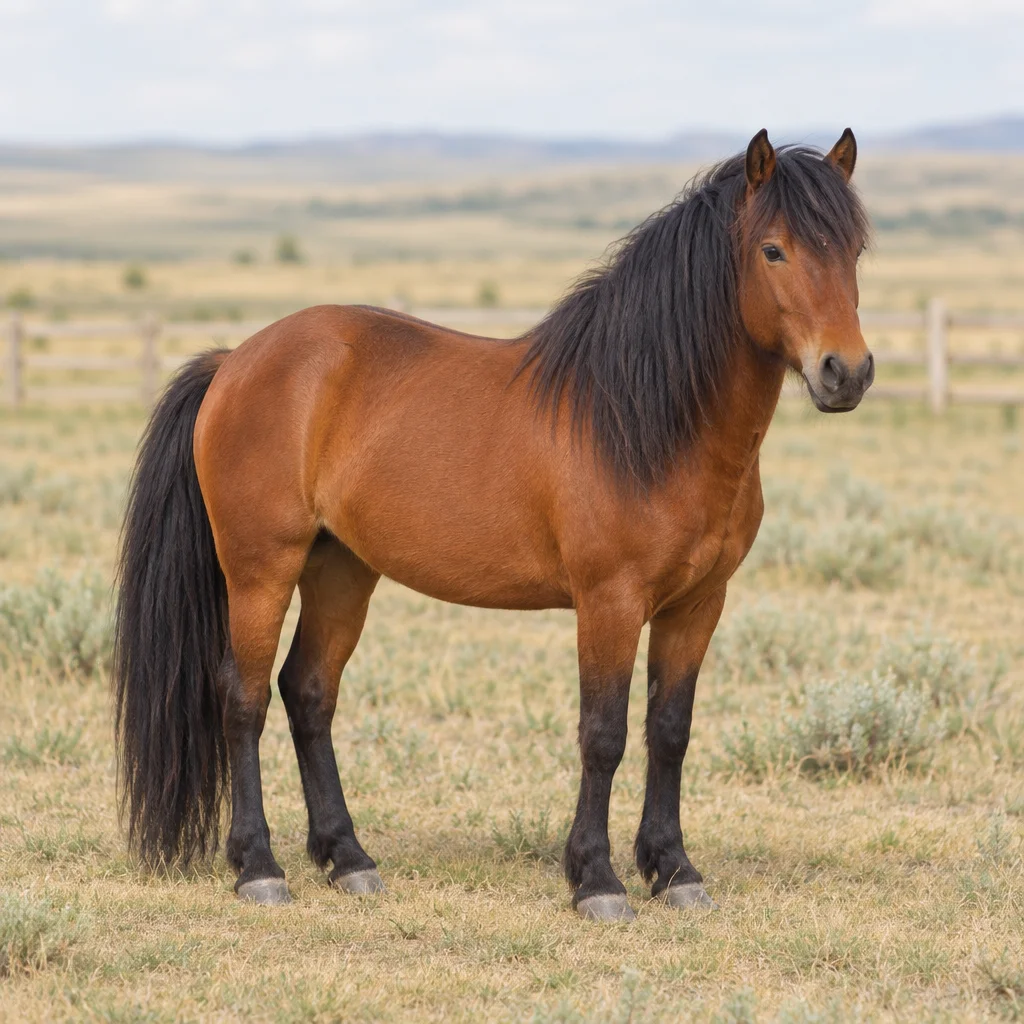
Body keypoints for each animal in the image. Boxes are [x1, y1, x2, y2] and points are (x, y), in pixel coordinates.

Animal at [113, 129, 872, 922]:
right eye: (774, 250)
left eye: (855, 249)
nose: (846, 372)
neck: (644, 420)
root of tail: (236, 360)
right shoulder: (609, 602)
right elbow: (603, 735)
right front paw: (596, 880)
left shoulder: (697, 605)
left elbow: (669, 732)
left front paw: (674, 870)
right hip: (262, 568)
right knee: (245, 698)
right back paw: (259, 867)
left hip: (342, 569)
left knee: (309, 692)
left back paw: (348, 858)